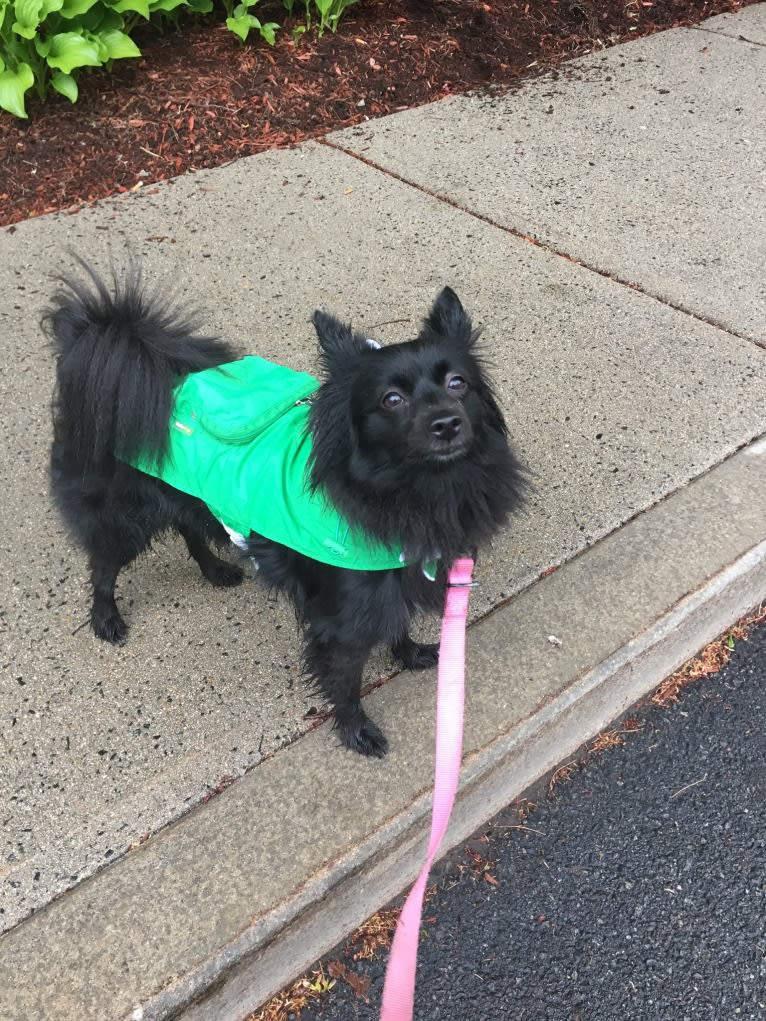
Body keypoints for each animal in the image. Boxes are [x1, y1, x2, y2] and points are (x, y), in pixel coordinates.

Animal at [48, 263, 527, 759]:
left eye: (458, 384)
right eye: (392, 399)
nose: (447, 423)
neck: (410, 488)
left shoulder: (399, 577)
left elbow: (397, 623)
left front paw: (408, 654)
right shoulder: (342, 618)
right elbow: (346, 680)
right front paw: (356, 730)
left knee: (189, 527)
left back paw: (214, 570)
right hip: (121, 518)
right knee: (103, 566)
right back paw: (105, 618)